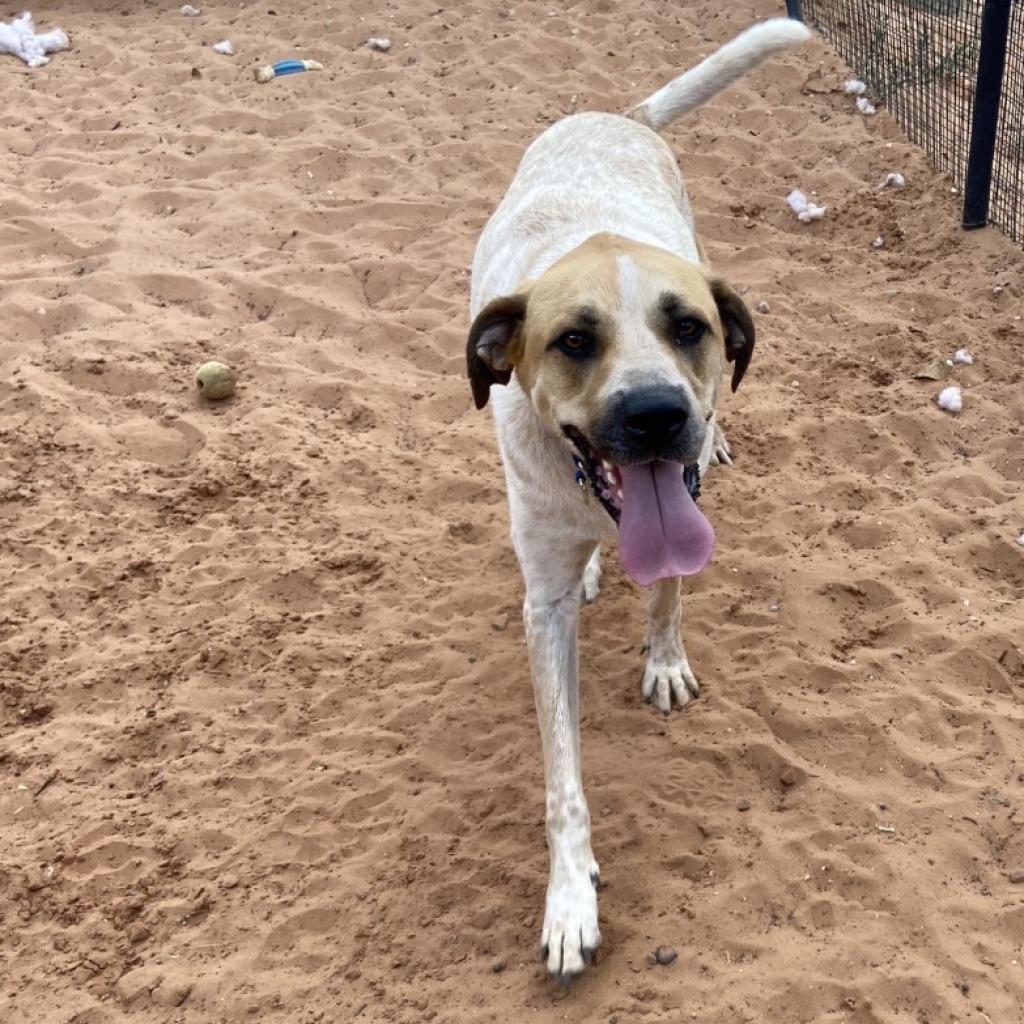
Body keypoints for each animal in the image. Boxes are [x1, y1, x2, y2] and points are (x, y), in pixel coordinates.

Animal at [468, 16, 811, 974]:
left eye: (688, 327)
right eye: (573, 341)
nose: (657, 414)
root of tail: (612, 118)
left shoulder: (681, 499)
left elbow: (669, 589)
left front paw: (663, 660)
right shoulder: (541, 604)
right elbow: (563, 778)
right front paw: (568, 897)